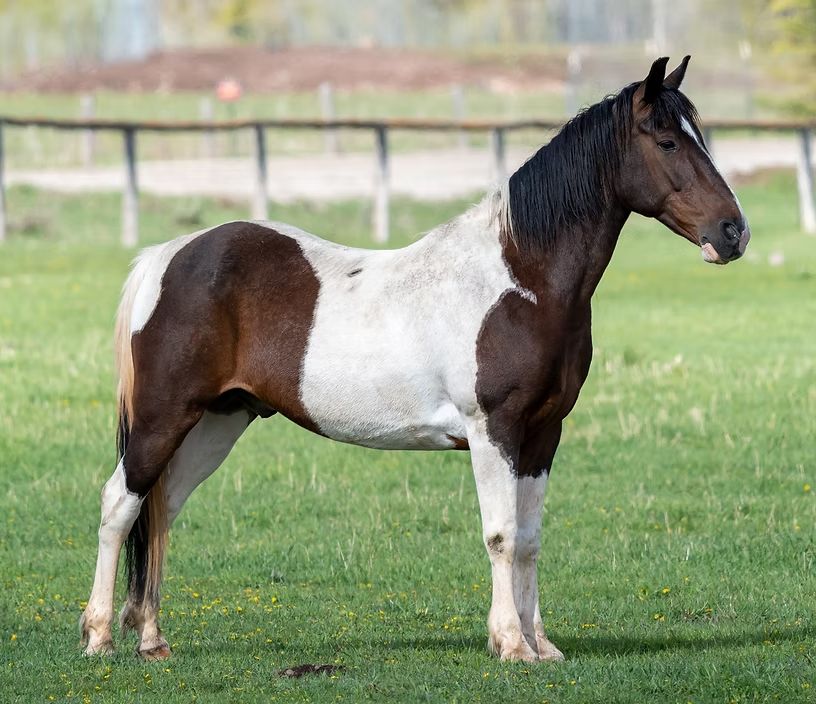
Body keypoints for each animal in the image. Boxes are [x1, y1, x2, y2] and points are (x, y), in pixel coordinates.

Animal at [80, 56, 750, 663]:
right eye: (667, 140)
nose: (733, 232)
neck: (521, 280)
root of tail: (167, 256)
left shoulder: (542, 435)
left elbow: (530, 539)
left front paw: (541, 645)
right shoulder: (494, 431)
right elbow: (502, 535)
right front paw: (511, 646)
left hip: (218, 422)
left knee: (161, 511)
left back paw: (152, 640)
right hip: (164, 417)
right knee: (121, 505)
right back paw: (100, 636)